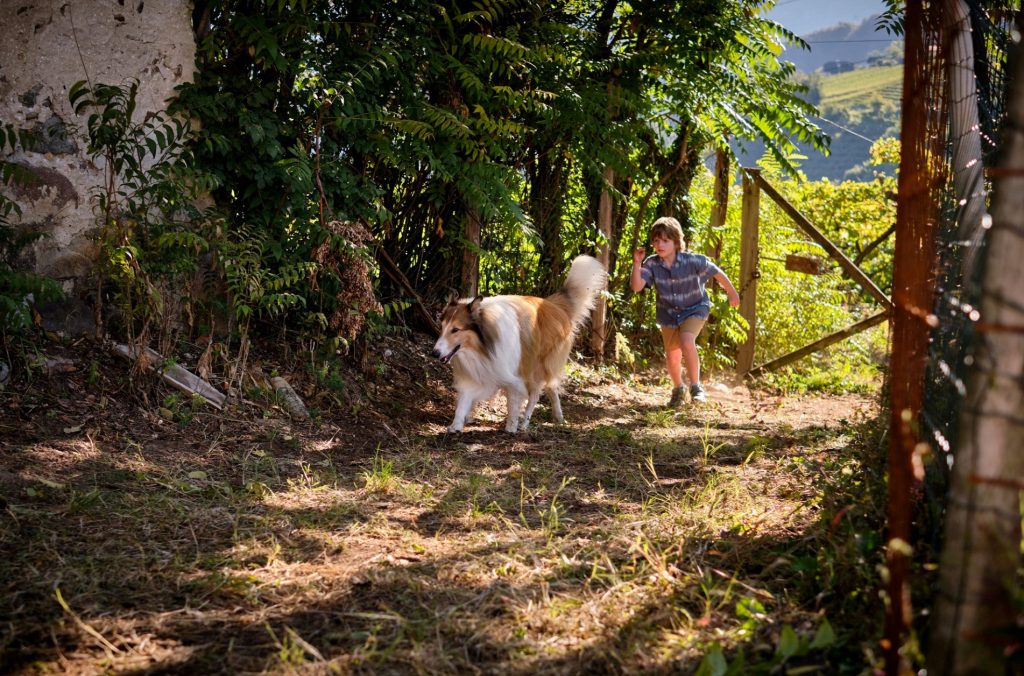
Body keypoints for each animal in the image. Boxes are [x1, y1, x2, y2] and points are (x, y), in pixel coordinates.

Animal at [432, 254, 606, 432]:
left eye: (455, 330)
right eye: (442, 326)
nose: (434, 353)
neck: (483, 346)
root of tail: (554, 305)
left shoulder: (514, 374)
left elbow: (513, 403)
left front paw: (511, 426)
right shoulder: (478, 373)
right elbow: (464, 400)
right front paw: (456, 424)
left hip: (538, 365)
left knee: (537, 394)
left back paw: (525, 423)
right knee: (552, 388)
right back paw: (558, 417)